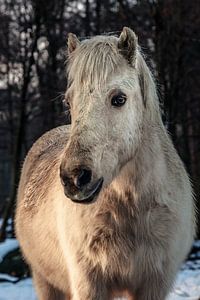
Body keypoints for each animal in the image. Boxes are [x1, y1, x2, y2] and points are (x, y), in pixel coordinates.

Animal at [15, 28, 195, 300]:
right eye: (68, 102)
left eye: (119, 99)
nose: (74, 178)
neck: (133, 209)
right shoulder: (89, 284)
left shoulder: (154, 284)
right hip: (45, 282)